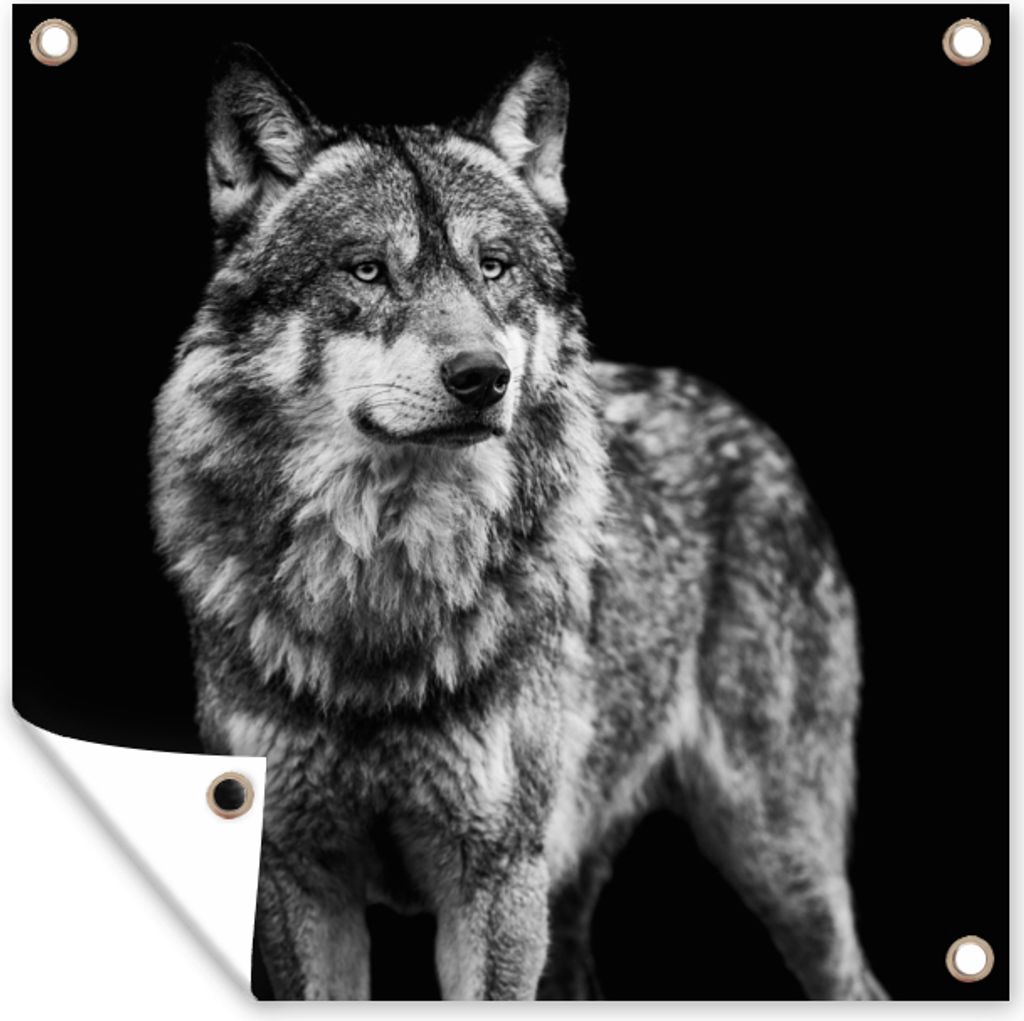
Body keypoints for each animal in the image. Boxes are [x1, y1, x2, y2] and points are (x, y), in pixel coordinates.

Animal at [150, 43, 886, 1000]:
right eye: (366, 270)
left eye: (493, 266)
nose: (481, 376)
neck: (385, 588)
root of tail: (752, 428)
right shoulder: (299, 875)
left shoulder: (494, 877)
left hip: (775, 856)